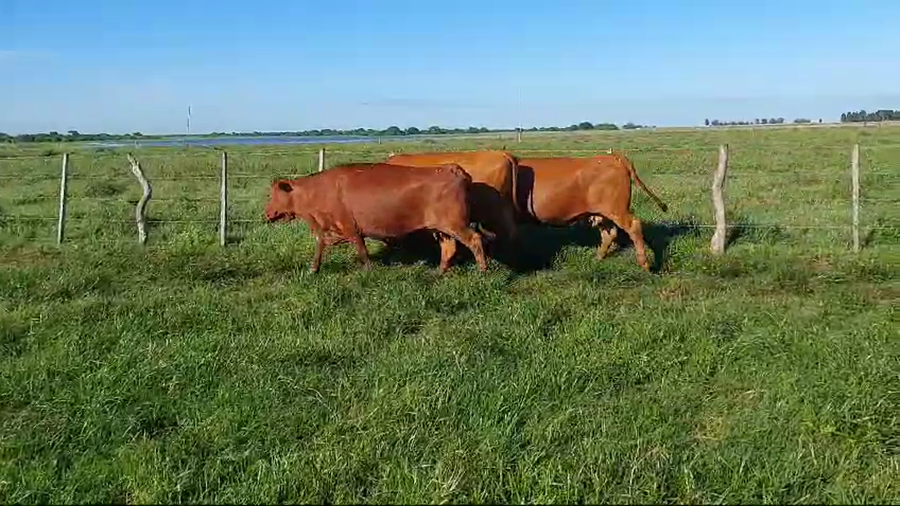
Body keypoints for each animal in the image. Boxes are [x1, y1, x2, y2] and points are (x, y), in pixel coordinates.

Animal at [264, 162, 489, 274]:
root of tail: (452, 168)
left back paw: (482, 271)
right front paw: (314, 268)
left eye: (275, 194)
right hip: (442, 229)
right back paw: (439, 272)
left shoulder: (350, 227)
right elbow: (322, 243)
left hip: (456, 225)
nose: (267, 213)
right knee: (449, 248)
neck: (318, 191)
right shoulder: (334, 229)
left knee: (475, 240)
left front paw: (369, 271)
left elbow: (362, 251)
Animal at [515, 151, 668, 271]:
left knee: (634, 226)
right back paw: (598, 258)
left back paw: (644, 264)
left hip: (617, 210)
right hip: (603, 213)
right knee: (609, 233)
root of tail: (614, 157)